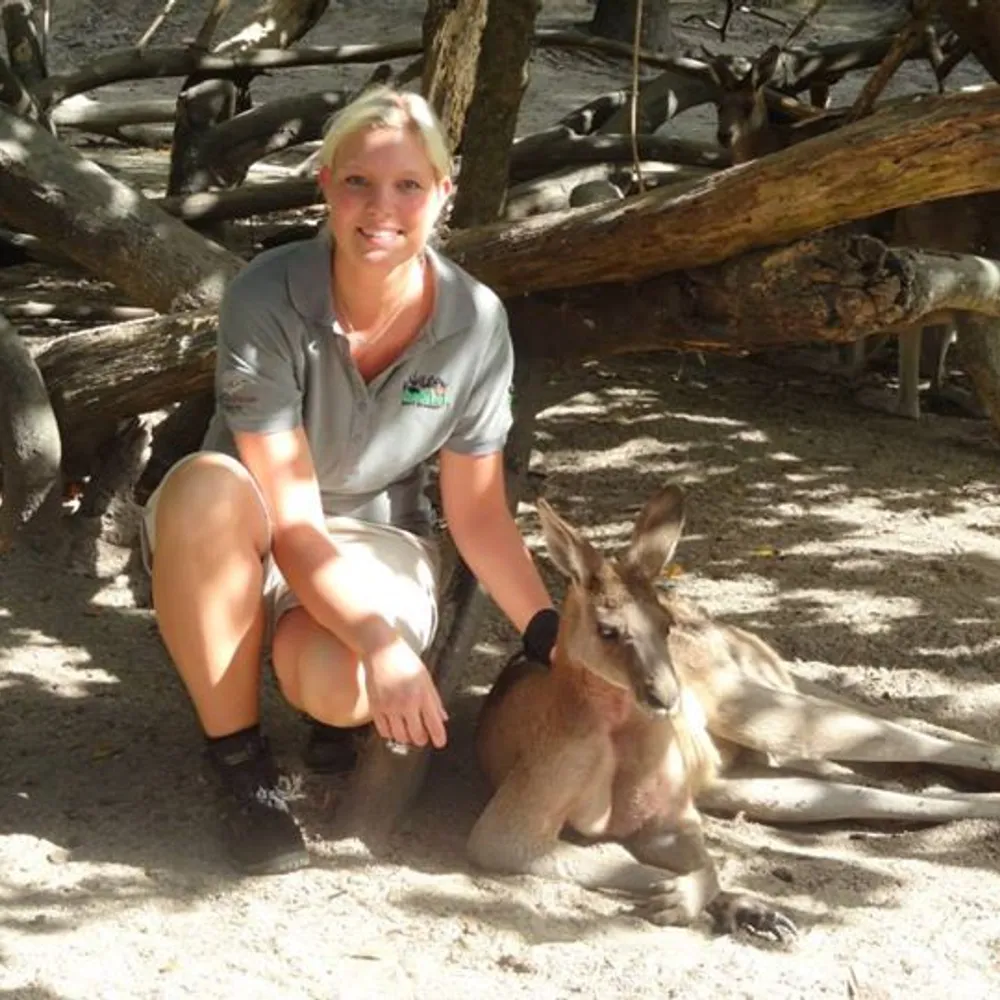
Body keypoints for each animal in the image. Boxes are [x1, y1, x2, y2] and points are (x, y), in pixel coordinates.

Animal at [469, 484, 1000, 941]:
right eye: (607, 631)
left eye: (664, 625)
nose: (667, 698)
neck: (617, 725)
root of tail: (726, 631)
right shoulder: (522, 816)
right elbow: (625, 859)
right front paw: (728, 906)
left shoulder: (671, 814)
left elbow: (702, 862)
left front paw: (693, 899)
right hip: (749, 781)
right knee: (878, 792)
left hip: (762, 713)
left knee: (924, 743)